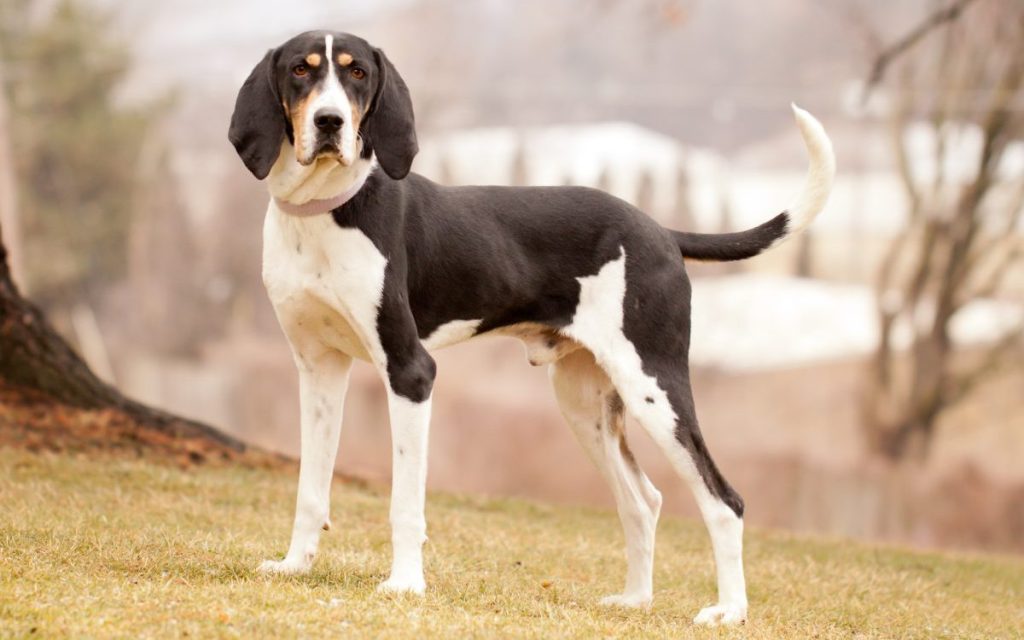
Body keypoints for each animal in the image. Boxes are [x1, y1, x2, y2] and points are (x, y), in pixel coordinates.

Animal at [230, 29, 831, 622]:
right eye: (301, 70)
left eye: (357, 73)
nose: (330, 121)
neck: (326, 211)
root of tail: (660, 230)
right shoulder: (319, 371)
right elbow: (310, 487)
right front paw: (294, 567)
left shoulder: (410, 372)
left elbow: (406, 502)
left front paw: (404, 585)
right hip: (585, 404)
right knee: (643, 501)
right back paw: (635, 600)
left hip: (654, 387)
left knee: (724, 500)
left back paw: (729, 611)